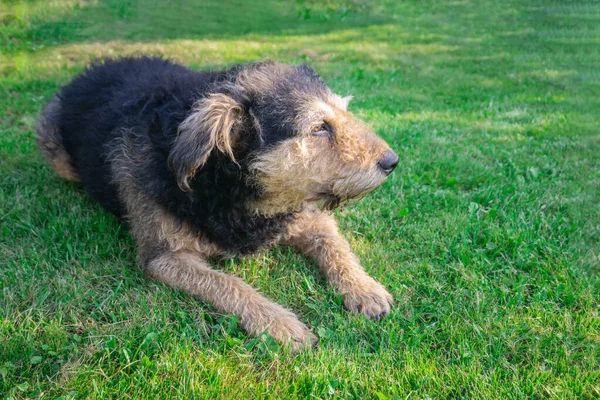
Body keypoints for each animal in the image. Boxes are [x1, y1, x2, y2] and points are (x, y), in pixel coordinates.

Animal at [35, 56, 398, 350]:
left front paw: (364, 289)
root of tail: (90, 70)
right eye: (319, 127)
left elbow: (335, 244)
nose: (392, 162)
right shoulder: (164, 257)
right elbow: (228, 284)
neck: (228, 186)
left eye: (344, 113)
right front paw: (281, 325)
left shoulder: (304, 214)